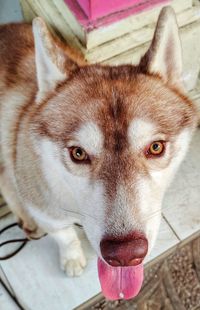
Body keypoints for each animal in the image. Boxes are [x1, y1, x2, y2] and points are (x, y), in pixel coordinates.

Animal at [0, 5, 197, 300]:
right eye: (78, 153)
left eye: (156, 147)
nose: (124, 254)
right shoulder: (43, 205)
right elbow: (64, 235)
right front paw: (71, 257)